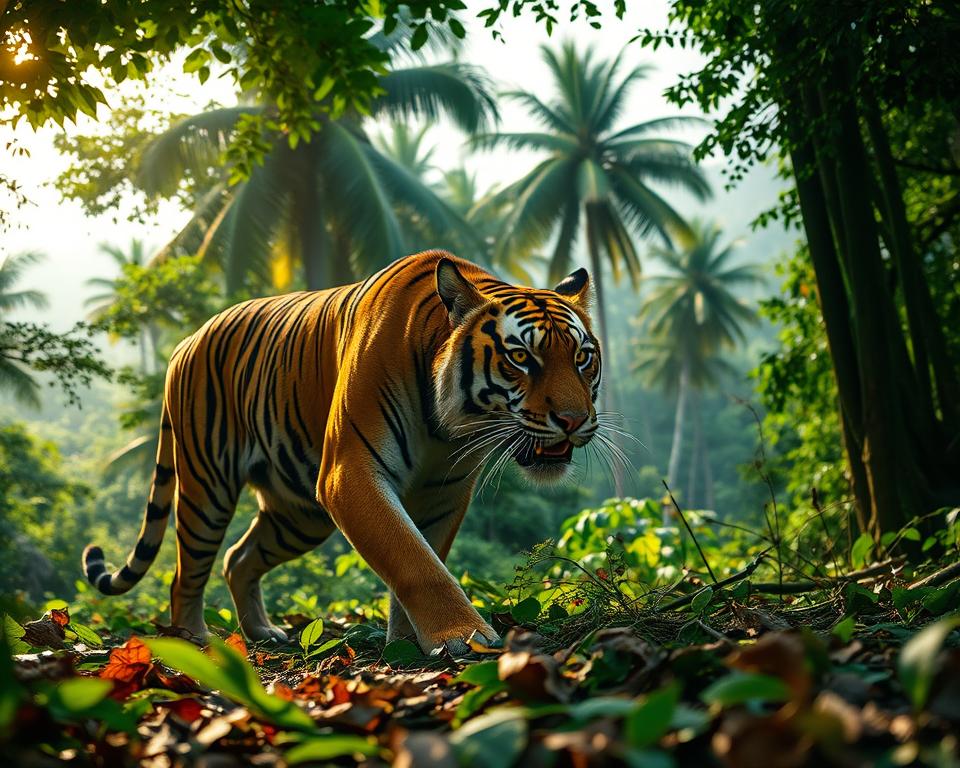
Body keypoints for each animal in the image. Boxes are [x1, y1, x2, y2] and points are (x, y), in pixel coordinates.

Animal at [82, 250, 601, 654]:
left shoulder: (444, 491)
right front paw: (461, 636)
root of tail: (187, 340)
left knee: (238, 558)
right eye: (521, 358)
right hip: (207, 486)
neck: (448, 428)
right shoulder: (349, 474)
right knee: (186, 571)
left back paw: (263, 633)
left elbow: (425, 552)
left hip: (299, 515)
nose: (574, 420)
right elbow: (413, 558)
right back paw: (195, 640)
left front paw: (411, 642)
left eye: (582, 358)